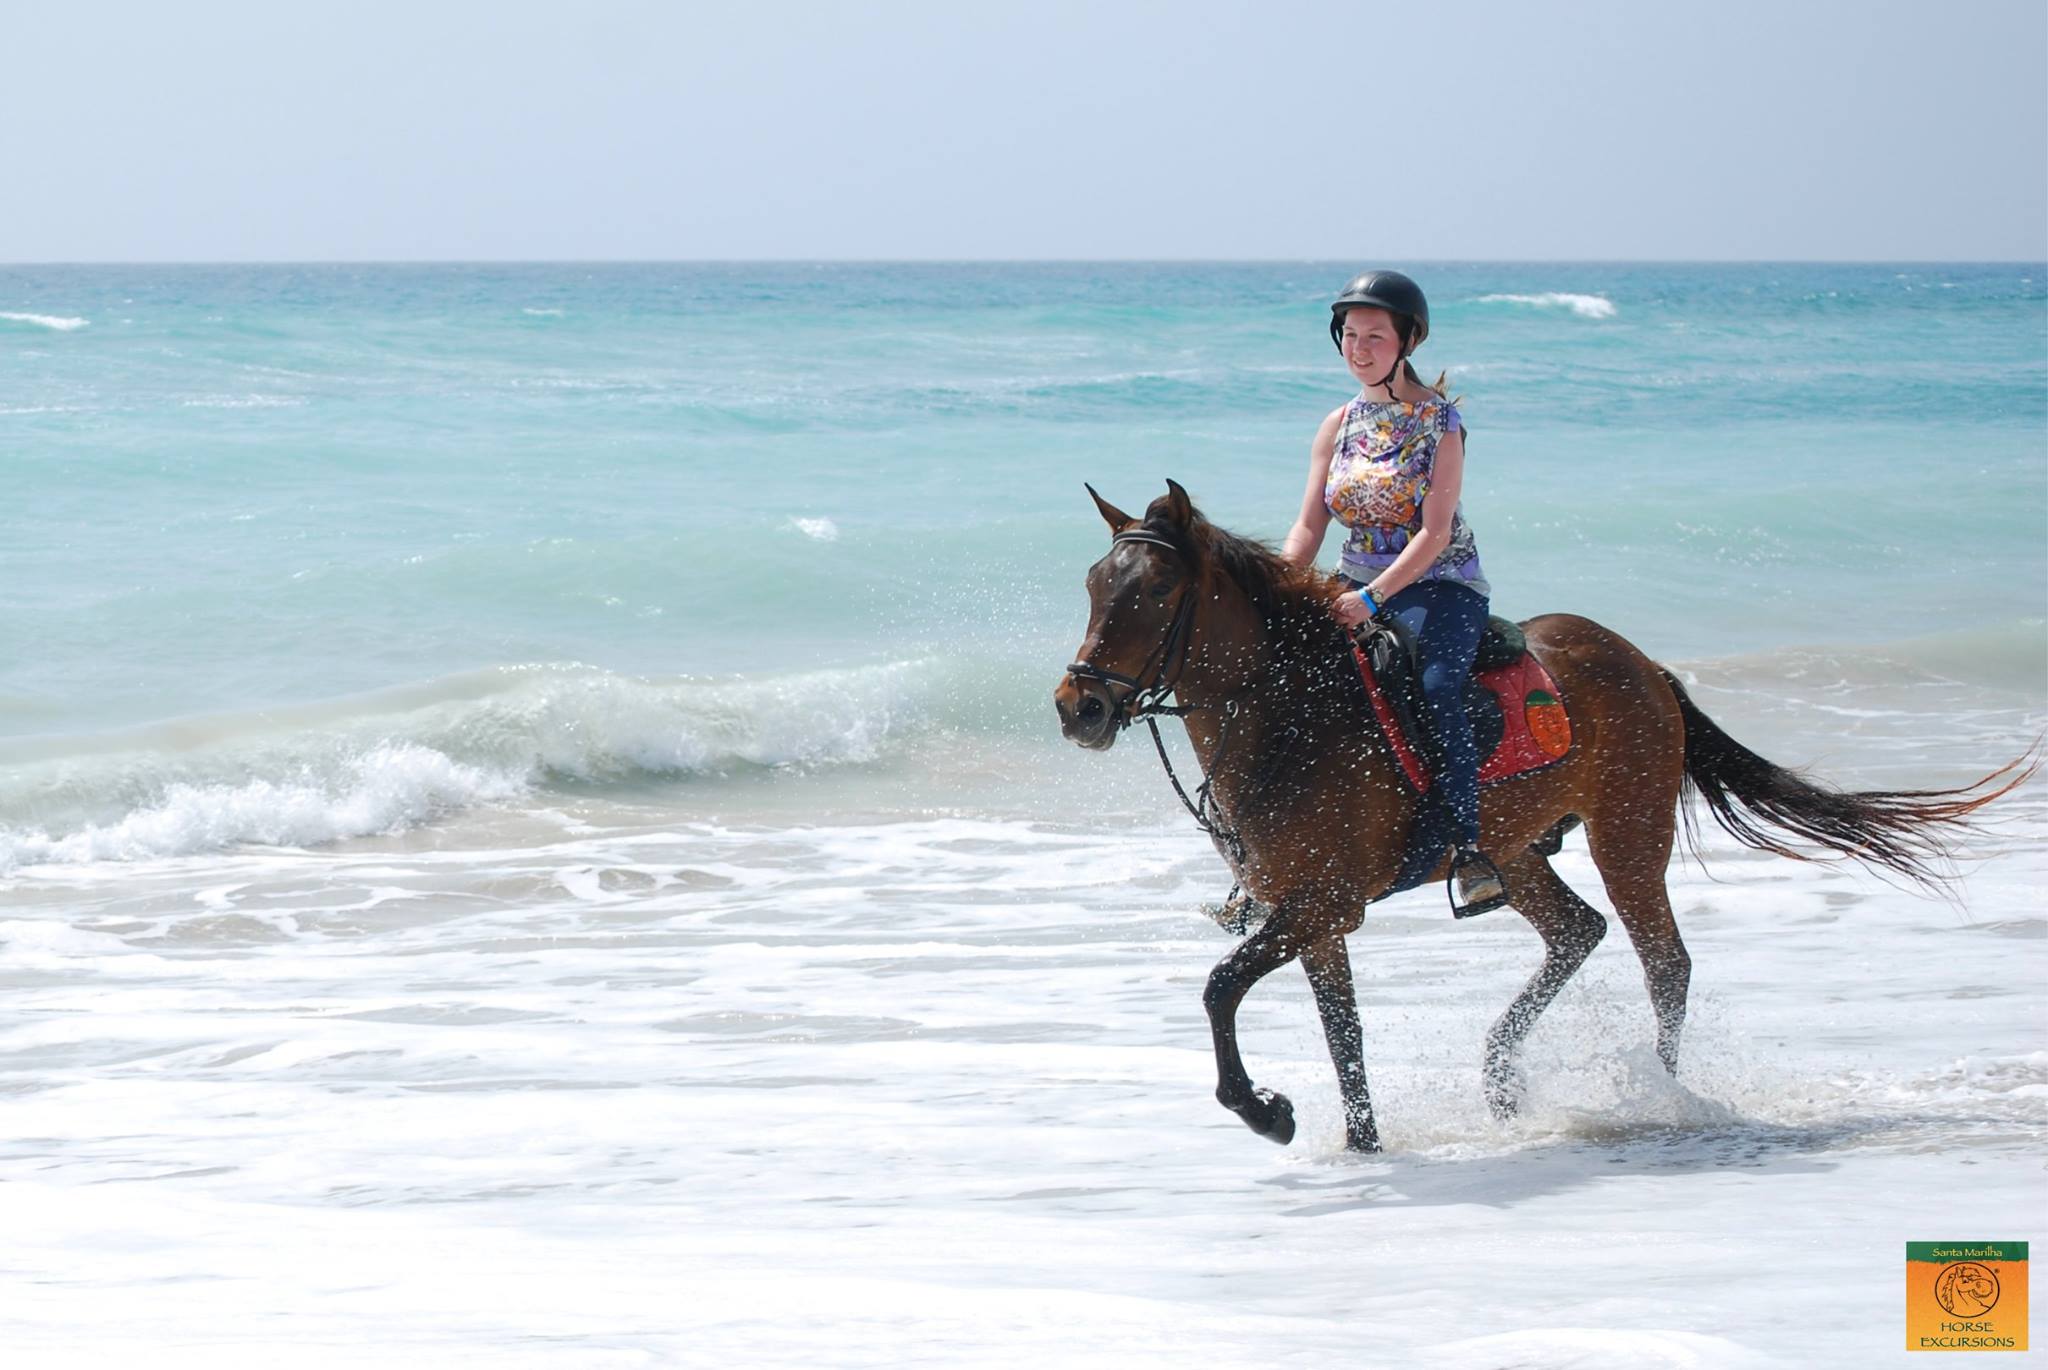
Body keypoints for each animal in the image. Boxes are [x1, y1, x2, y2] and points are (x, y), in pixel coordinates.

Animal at [1052, 480, 2028, 1153]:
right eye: (1095, 584)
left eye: (1152, 593)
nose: (1078, 708)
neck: (1295, 714)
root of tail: (1646, 664)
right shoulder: (1315, 916)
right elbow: (1343, 1035)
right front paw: (1361, 1146)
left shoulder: (1328, 903)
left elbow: (1220, 987)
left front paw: (1265, 1113)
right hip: (1517, 850)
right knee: (1576, 932)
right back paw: (1503, 1079)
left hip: (1629, 836)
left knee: (1663, 963)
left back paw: (1657, 1095)